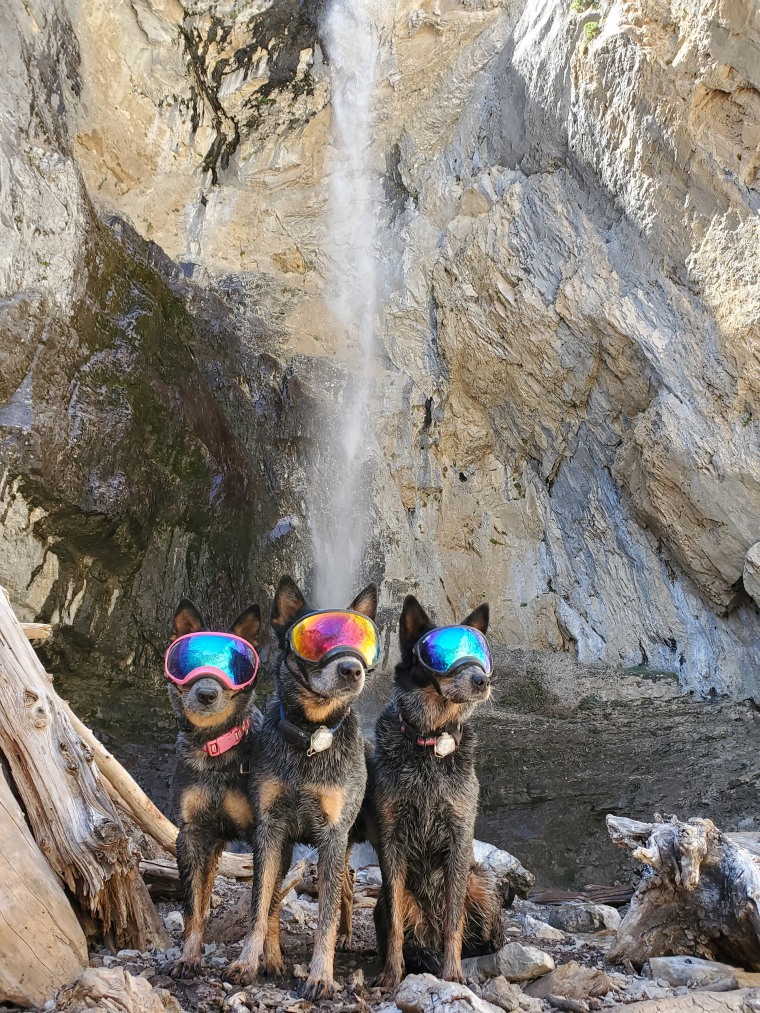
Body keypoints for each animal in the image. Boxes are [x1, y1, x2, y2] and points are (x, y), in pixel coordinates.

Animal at [164, 595, 265, 976]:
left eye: (233, 665)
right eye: (189, 662)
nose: (206, 693)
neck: (215, 747)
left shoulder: (264, 834)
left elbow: (260, 903)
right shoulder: (191, 834)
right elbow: (193, 907)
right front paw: (188, 957)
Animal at [228, 575, 378, 1000]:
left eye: (361, 640)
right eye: (314, 640)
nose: (352, 669)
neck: (311, 737)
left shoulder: (332, 835)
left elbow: (325, 914)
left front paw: (321, 975)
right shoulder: (270, 830)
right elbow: (261, 904)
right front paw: (248, 961)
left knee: (345, 888)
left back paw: (345, 936)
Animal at [370, 595, 506, 984]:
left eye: (480, 652)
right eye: (441, 655)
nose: (482, 679)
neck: (431, 740)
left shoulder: (458, 837)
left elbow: (454, 921)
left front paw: (453, 974)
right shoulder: (391, 838)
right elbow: (397, 926)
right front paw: (391, 974)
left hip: (482, 884)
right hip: (382, 902)